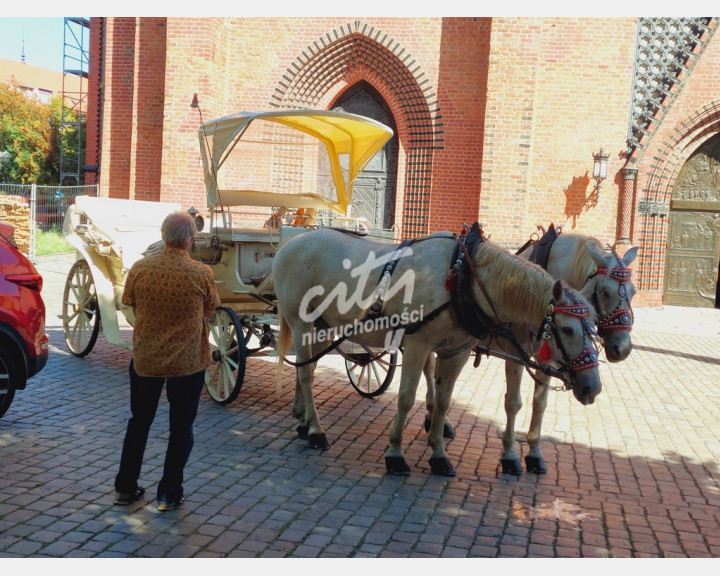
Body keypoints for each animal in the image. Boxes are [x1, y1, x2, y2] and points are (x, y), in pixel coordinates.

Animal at [272, 228, 600, 476]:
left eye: (594, 327)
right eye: (567, 329)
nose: (592, 388)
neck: (463, 278)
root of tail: (289, 244)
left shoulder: (457, 351)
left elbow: (443, 401)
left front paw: (439, 454)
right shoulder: (418, 345)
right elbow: (406, 398)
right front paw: (395, 453)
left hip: (323, 326)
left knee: (307, 367)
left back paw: (303, 421)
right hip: (301, 322)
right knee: (306, 373)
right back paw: (316, 431)